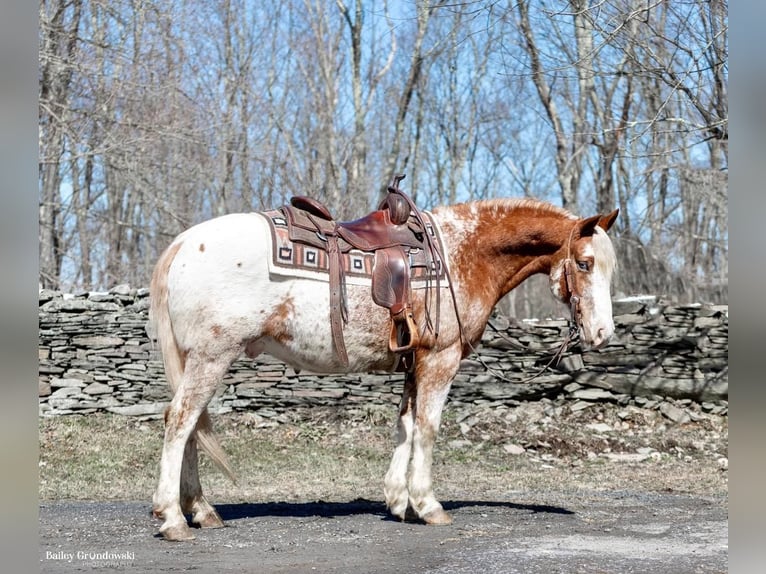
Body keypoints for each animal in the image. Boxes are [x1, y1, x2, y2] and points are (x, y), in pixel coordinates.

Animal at [147, 196, 620, 544]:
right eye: (584, 263)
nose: (601, 333)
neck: (463, 254)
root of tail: (183, 244)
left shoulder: (415, 361)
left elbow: (405, 425)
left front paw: (397, 500)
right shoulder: (440, 359)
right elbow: (427, 428)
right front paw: (428, 505)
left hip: (197, 360)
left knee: (190, 426)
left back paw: (200, 510)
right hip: (212, 357)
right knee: (181, 421)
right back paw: (172, 518)